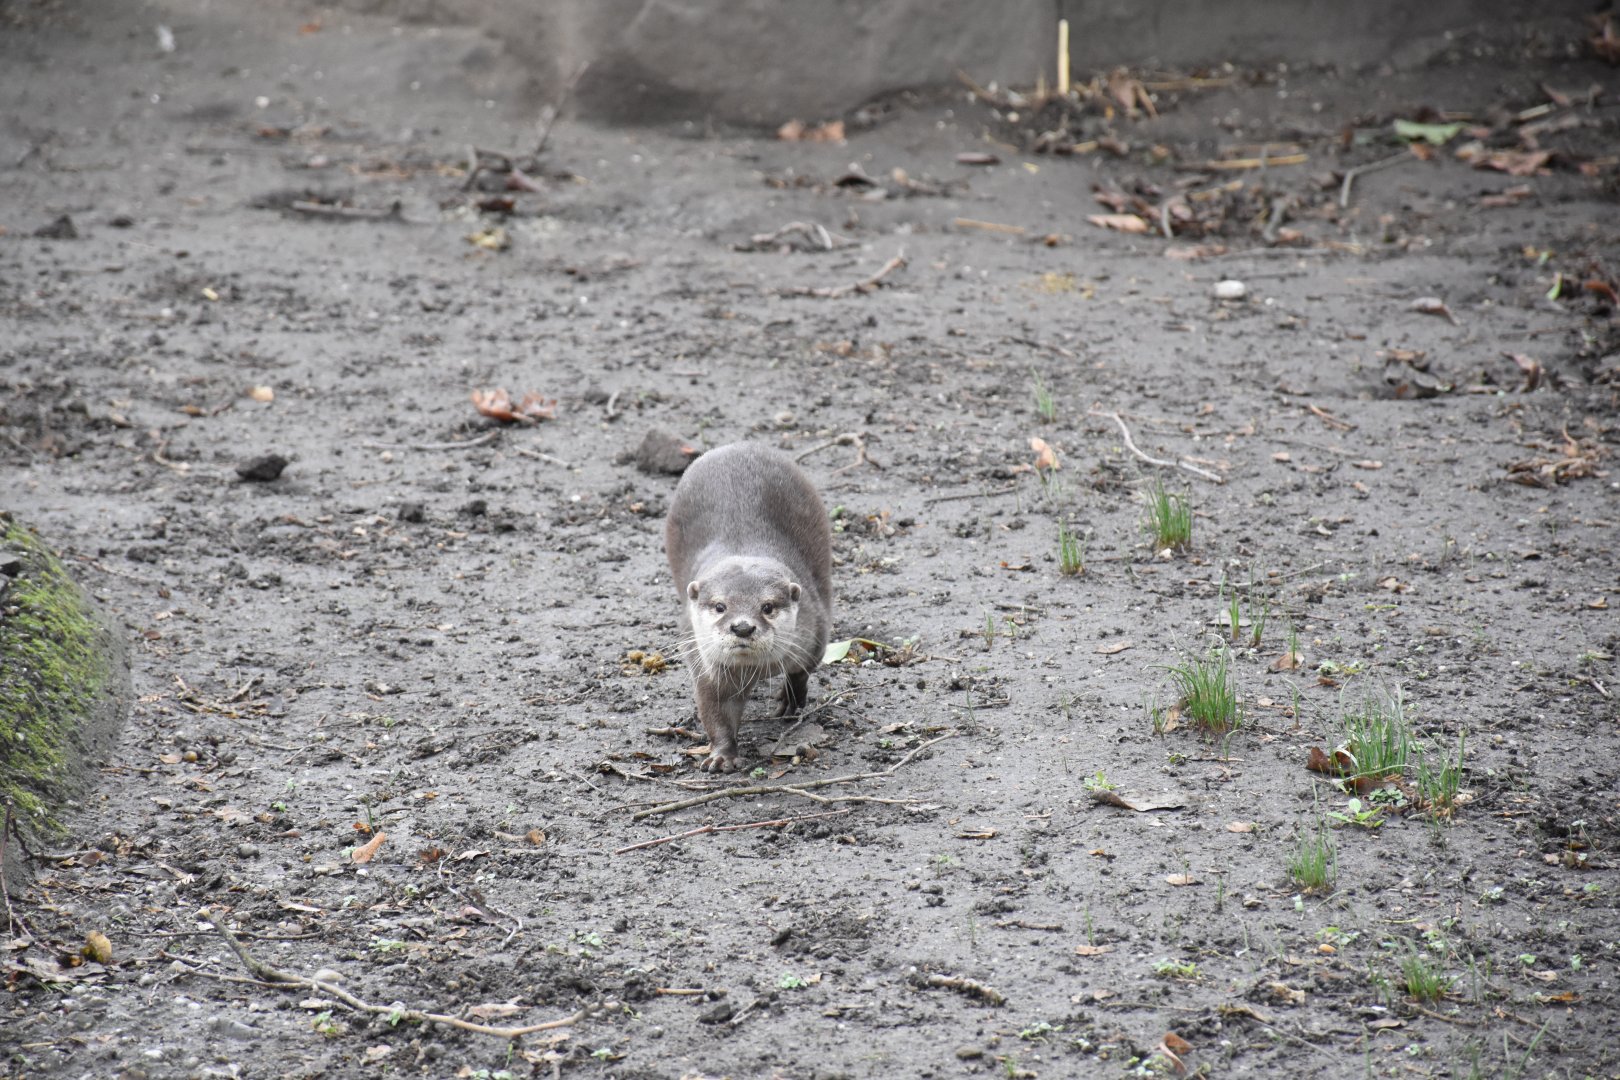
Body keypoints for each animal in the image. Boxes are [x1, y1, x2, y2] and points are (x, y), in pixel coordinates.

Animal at [664, 442, 834, 772]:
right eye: (720, 606)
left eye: (767, 607)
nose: (742, 626)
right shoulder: (705, 666)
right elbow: (715, 713)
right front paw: (722, 756)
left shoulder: (815, 633)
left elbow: (802, 671)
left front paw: (791, 699)